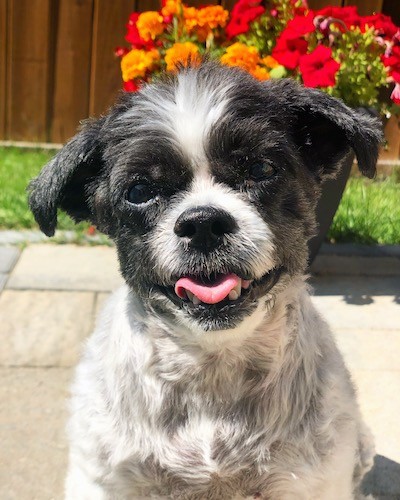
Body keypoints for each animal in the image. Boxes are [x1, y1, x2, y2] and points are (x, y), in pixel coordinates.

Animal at [28, 63, 382, 500]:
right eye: (139, 190)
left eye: (261, 169)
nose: (203, 224)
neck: (213, 368)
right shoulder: (106, 478)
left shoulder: (310, 479)